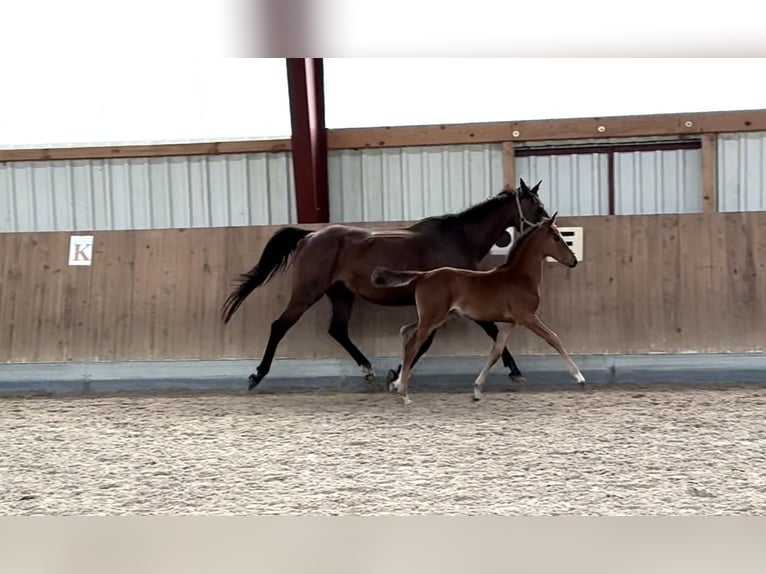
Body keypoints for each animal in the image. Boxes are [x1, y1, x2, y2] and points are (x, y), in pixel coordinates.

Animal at [221, 178, 551, 391]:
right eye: (537, 206)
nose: (551, 226)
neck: (459, 238)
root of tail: (310, 236)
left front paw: (395, 372)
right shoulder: (453, 302)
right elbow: (487, 332)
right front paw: (515, 371)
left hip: (341, 294)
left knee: (337, 330)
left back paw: (368, 370)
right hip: (307, 292)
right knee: (280, 326)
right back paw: (257, 375)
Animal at [371, 213, 585, 404]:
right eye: (556, 237)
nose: (573, 261)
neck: (519, 277)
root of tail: (423, 276)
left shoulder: (510, 322)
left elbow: (496, 351)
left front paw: (477, 390)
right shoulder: (527, 317)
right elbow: (553, 338)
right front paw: (579, 378)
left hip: (437, 317)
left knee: (406, 332)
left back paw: (398, 383)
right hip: (432, 317)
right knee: (413, 344)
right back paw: (404, 393)